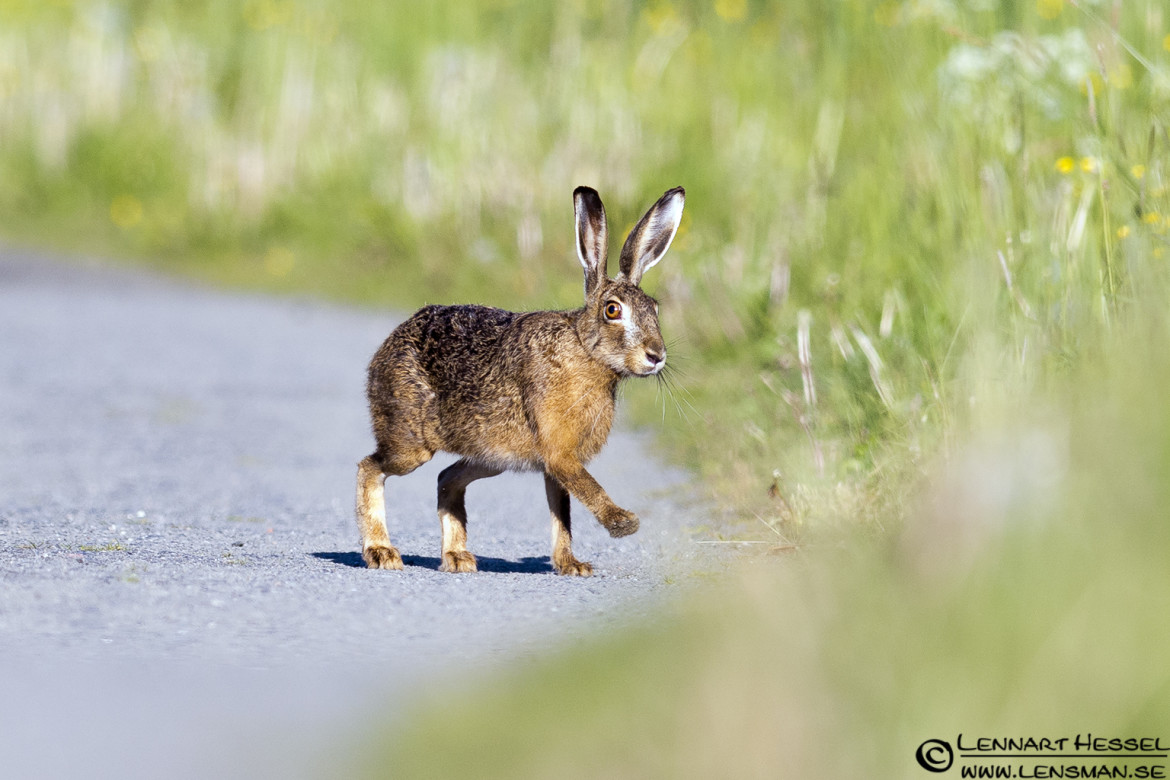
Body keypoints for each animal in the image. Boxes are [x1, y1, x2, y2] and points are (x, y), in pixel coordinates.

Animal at [355, 185, 685, 575]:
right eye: (612, 310)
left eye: (655, 308)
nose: (656, 355)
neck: (585, 353)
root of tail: (384, 352)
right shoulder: (559, 453)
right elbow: (587, 489)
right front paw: (624, 523)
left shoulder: (554, 464)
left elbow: (562, 512)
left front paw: (570, 564)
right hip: (412, 444)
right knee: (370, 467)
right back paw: (382, 551)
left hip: (491, 456)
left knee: (446, 478)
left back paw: (458, 557)